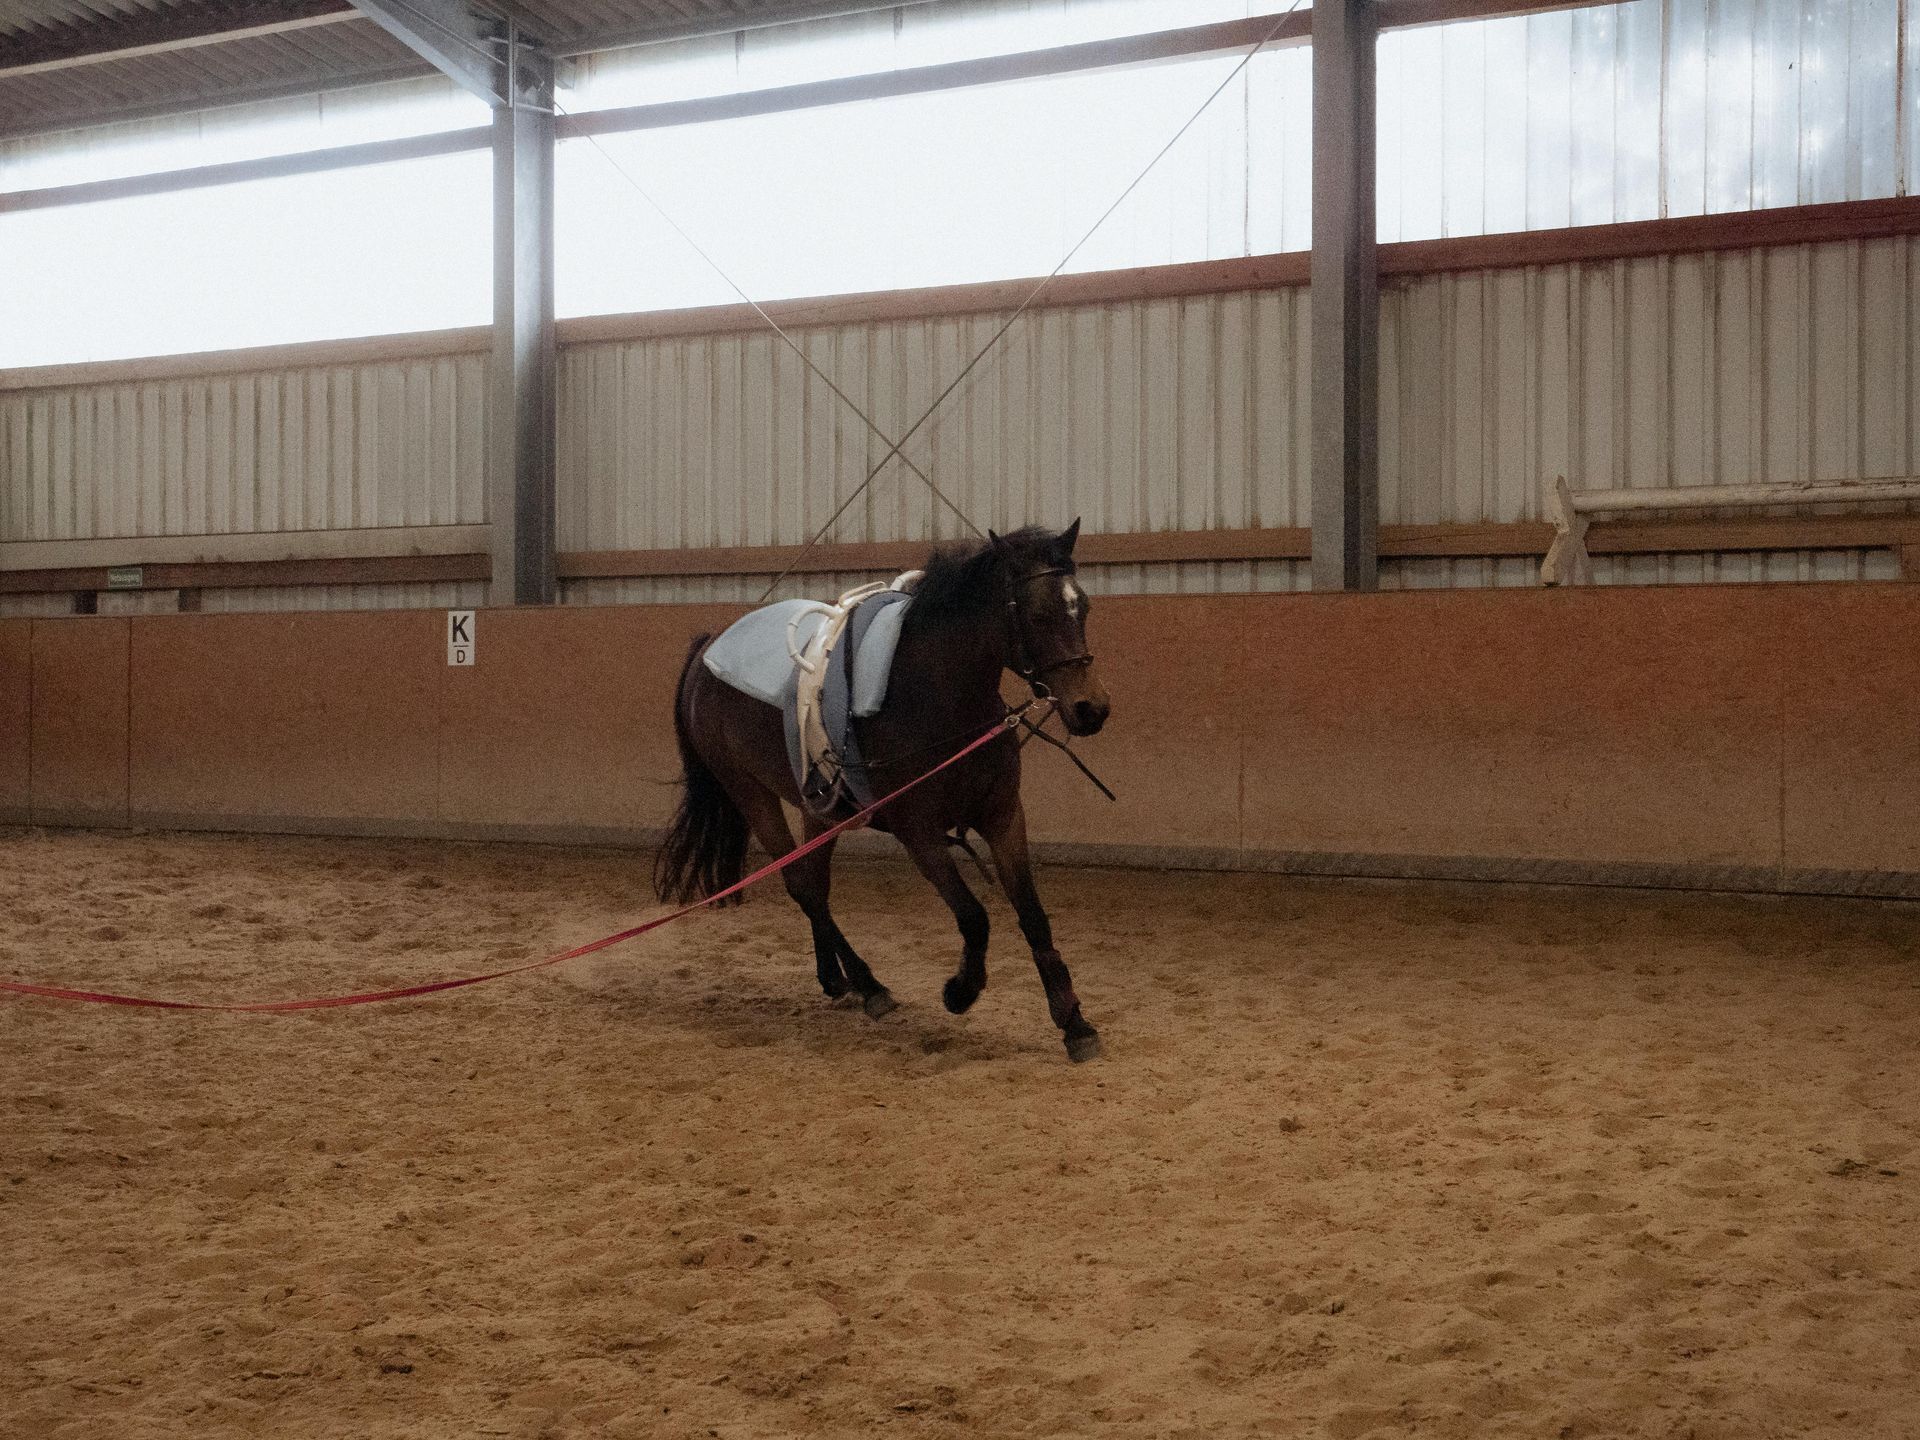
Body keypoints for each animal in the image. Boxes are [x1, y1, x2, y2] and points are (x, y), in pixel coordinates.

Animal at [653, 521, 1112, 1062]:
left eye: (1083, 608)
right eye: (1039, 614)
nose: (1091, 709)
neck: (938, 698)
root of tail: (709, 647)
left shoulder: (1003, 817)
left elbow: (1034, 916)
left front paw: (1074, 1023)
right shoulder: (918, 832)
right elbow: (974, 916)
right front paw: (960, 992)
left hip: (821, 808)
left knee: (816, 885)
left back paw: (840, 979)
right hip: (750, 793)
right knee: (802, 886)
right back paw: (868, 985)